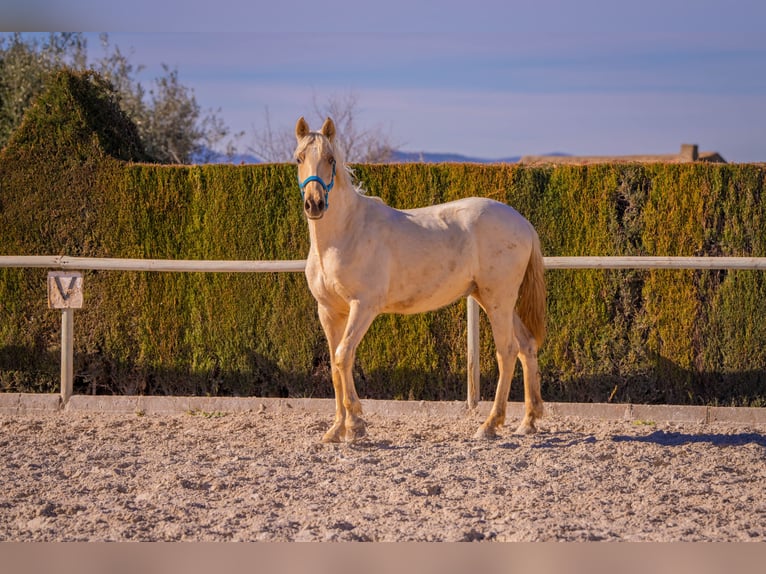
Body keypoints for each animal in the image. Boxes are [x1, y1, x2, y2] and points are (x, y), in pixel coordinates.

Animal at [294, 115, 544, 444]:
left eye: (331, 159)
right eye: (299, 158)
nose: (315, 205)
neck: (346, 233)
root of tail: (523, 222)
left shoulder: (364, 307)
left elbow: (343, 356)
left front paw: (356, 424)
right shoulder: (329, 311)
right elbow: (336, 365)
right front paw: (336, 429)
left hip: (498, 300)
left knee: (508, 351)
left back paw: (490, 425)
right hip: (492, 299)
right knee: (527, 346)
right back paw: (528, 421)